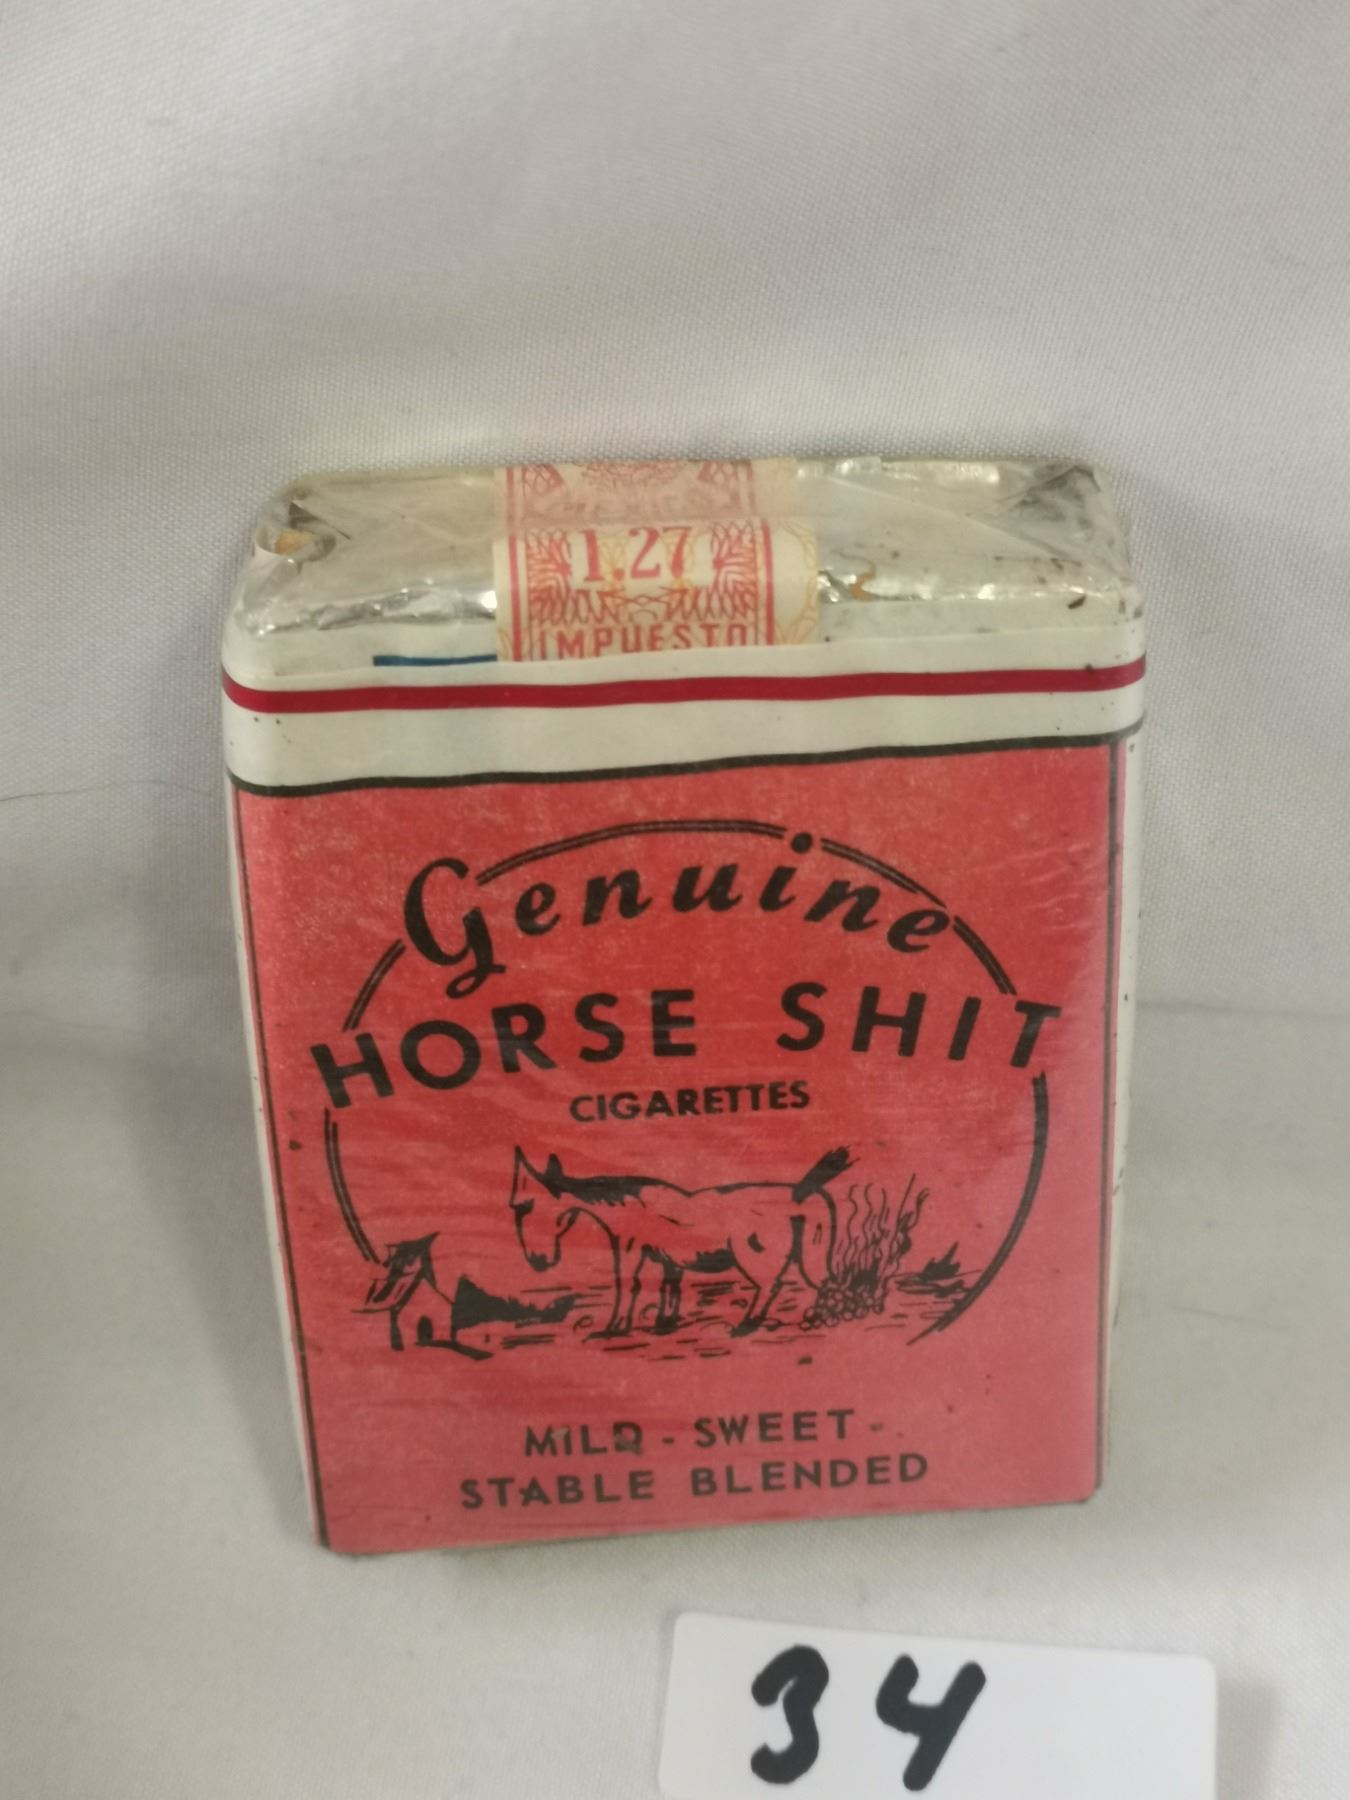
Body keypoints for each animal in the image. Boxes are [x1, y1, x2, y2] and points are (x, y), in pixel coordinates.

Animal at [508, 1145, 854, 1338]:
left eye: (525, 1205)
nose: (537, 1261)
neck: (629, 1204)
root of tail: (798, 1193)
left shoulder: (629, 1248)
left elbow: (628, 1284)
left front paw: (614, 1328)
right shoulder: (668, 1259)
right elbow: (669, 1288)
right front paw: (665, 1323)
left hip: (755, 1256)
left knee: (770, 1285)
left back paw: (747, 1325)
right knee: (821, 1281)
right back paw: (818, 1318)